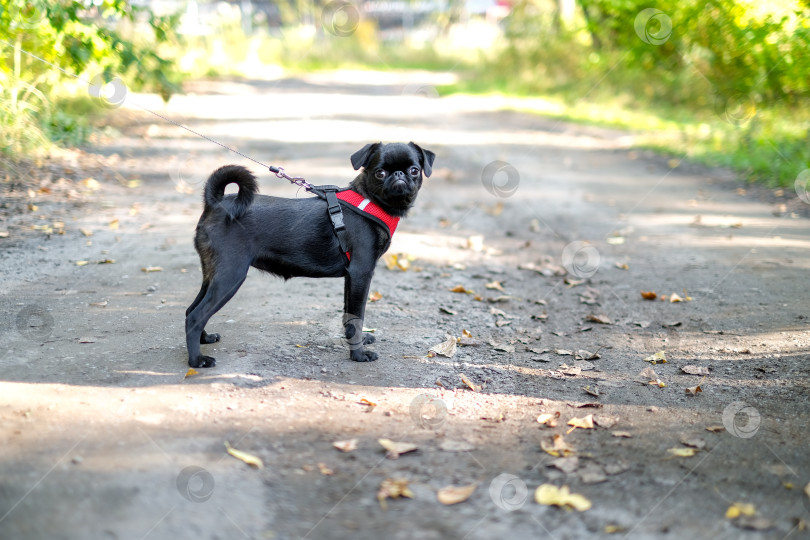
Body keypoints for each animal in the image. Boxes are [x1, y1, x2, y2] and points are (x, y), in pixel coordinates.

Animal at [185, 141, 436, 370]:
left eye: (414, 170)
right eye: (380, 173)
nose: (399, 175)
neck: (370, 201)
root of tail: (216, 204)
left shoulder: (351, 277)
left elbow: (349, 316)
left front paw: (358, 341)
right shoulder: (361, 273)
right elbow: (357, 316)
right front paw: (358, 354)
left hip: (213, 275)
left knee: (191, 311)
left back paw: (204, 339)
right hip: (231, 276)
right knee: (196, 316)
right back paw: (197, 360)